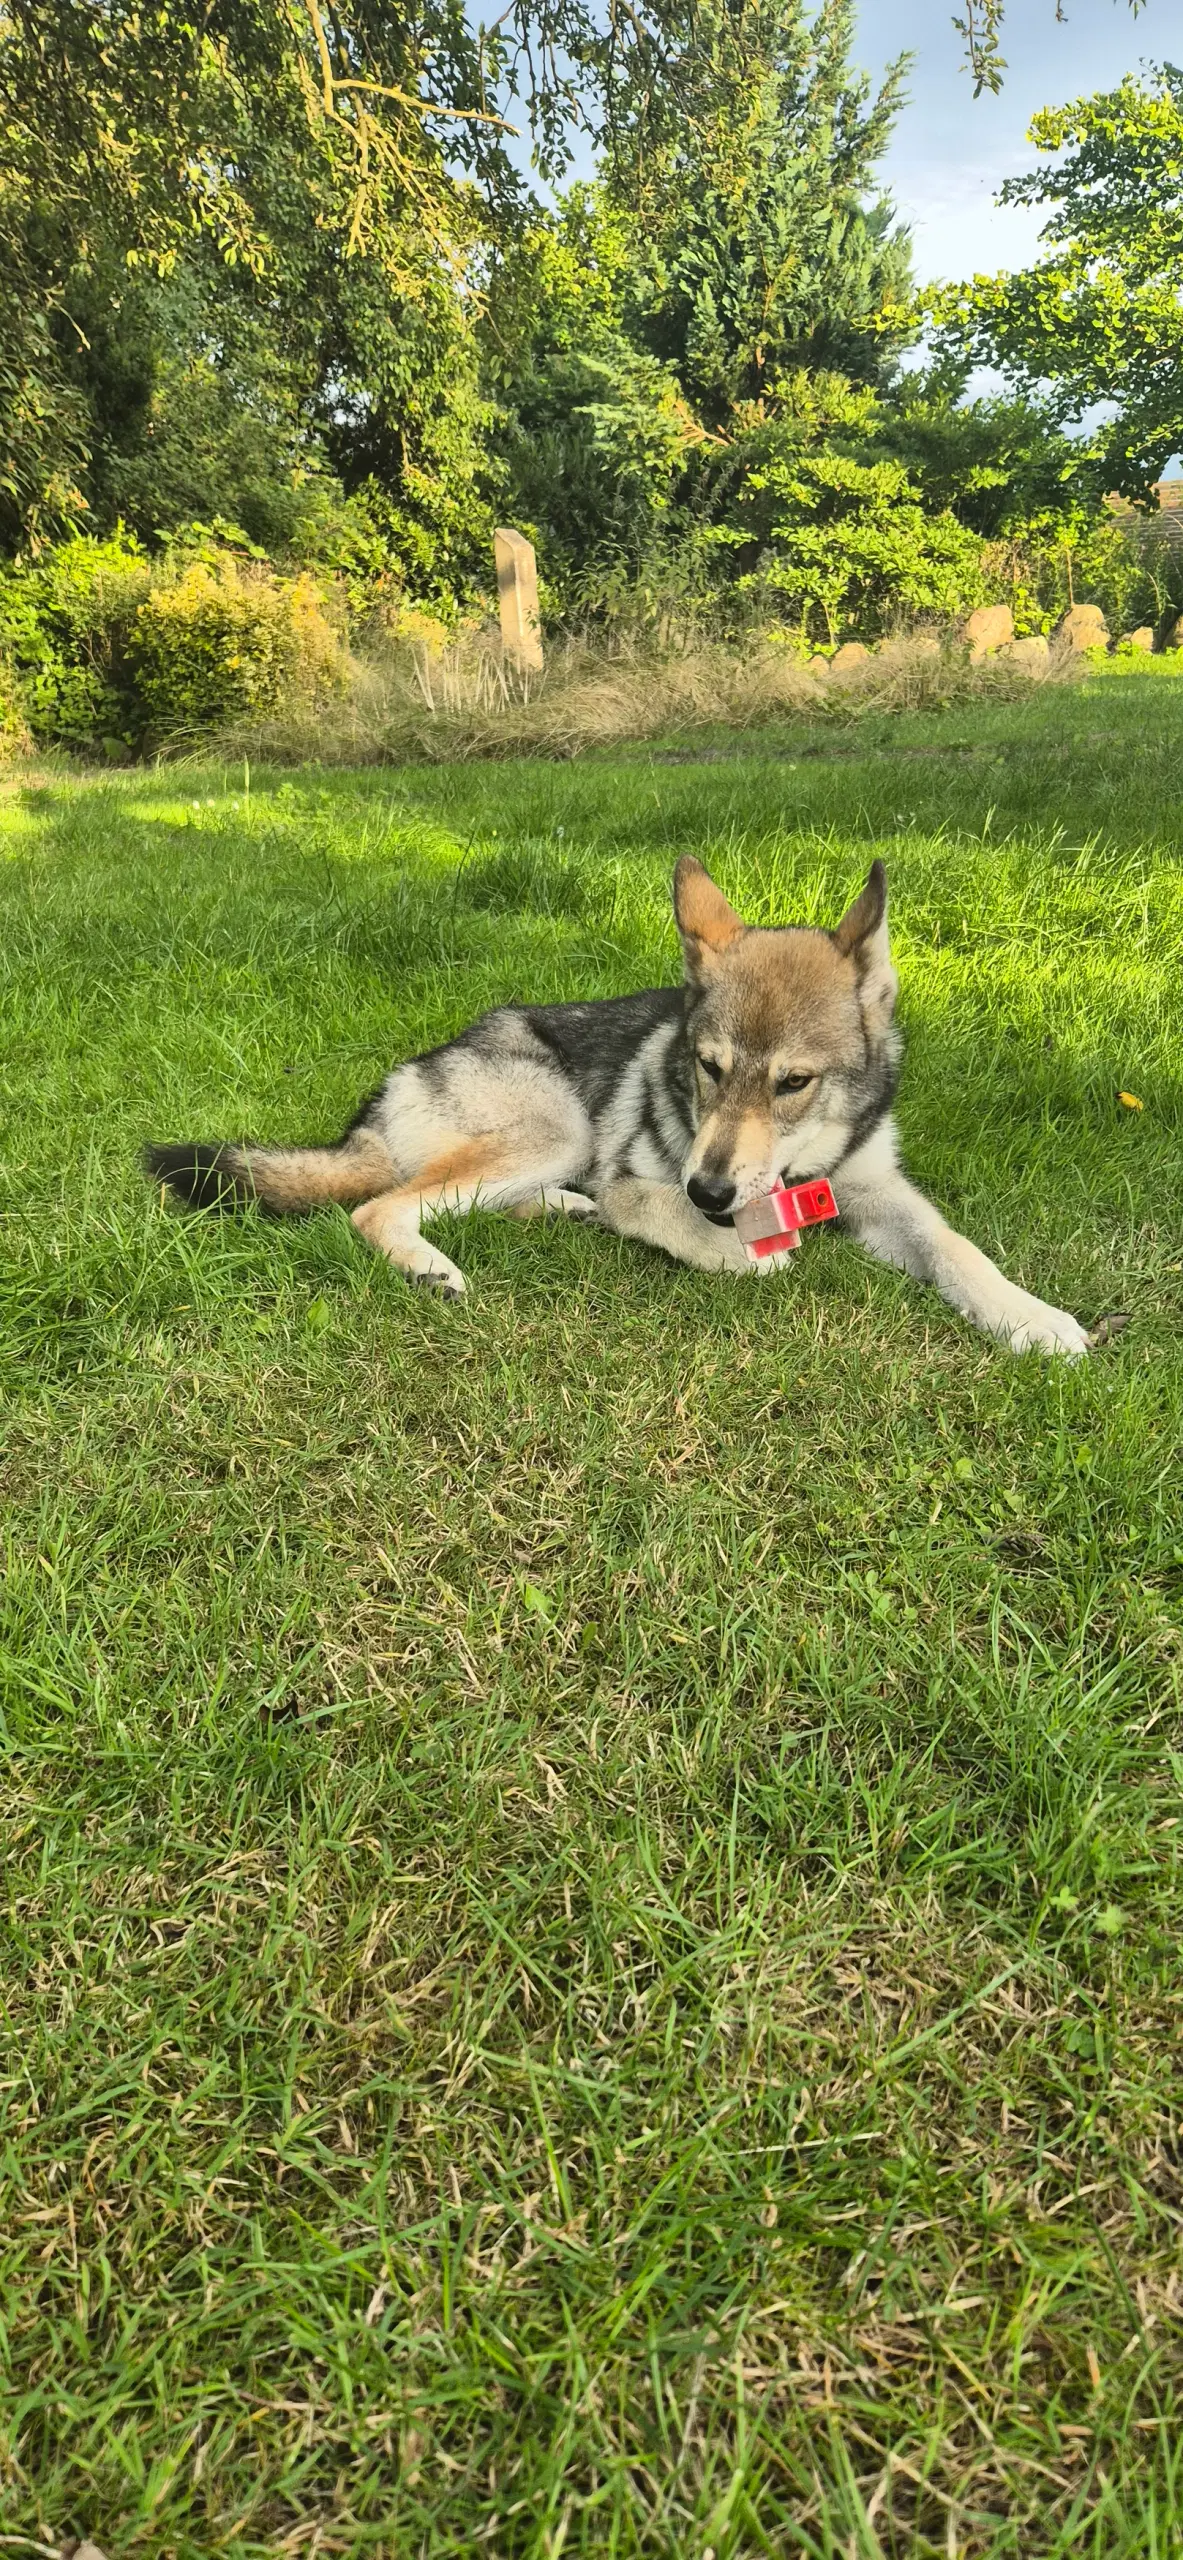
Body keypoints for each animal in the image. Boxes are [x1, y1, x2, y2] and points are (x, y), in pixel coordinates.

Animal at [145, 855, 1090, 1361]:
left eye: (792, 1082)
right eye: (707, 1068)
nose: (711, 1191)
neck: (794, 1170)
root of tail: (389, 1091)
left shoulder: (878, 1192)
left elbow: (956, 1248)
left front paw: (1030, 1315)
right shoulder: (642, 1182)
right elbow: (676, 1221)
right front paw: (731, 1248)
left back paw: (562, 1211)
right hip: (557, 1126)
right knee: (379, 1207)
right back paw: (431, 1265)